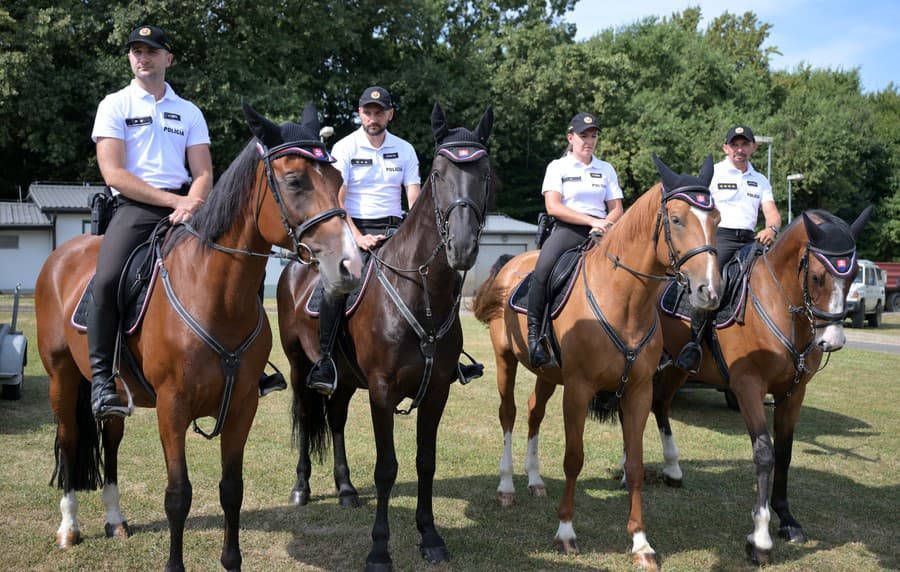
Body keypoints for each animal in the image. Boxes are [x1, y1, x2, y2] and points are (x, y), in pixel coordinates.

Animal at [36, 103, 362, 572]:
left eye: (337, 180)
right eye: (295, 181)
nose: (350, 266)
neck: (214, 294)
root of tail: (62, 255)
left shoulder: (243, 405)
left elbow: (231, 489)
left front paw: (231, 560)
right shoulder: (172, 408)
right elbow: (178, 495)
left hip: (116, 393)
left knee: (111, 439)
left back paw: (115, 521)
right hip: (62, 379)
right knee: (68, 439)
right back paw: (69, 528)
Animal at [278, 104, 496, 572]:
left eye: (485, 173)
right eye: (439, 173)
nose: (463, 247)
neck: (421, 295)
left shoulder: (436, 392)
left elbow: (425, 463)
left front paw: (430, 537)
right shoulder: (381, 391)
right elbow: (386, 469)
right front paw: (379, 550)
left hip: (343, 378)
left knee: (336, 419)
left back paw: (345, 489)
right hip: (300, 366)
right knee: (307, 416)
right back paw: (302, 488)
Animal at [472, 153, 724, 568]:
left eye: (716, 218)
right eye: (675, 220)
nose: (710, 291)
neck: (624, 299)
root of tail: (510, 265)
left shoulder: (638, 391)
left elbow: (635, 465)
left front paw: (641, 544)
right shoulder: (578, 389)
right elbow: (574, 458)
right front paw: (565, 532)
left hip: (547, 374)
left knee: (533, 412)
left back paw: (534, 480)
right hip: (505, 360)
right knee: (508, 414)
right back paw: (506, 485)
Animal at [648, 204, 872, 564]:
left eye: (851, 278)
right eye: (817, 277)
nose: (833, 341)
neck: (779, 306)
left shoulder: (793, 392)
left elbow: (785, 451)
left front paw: (787, 520)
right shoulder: (748, 386)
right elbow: (765, 453)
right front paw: (760, 538)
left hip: (678, 368)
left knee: (659, 403)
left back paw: (672, 470)